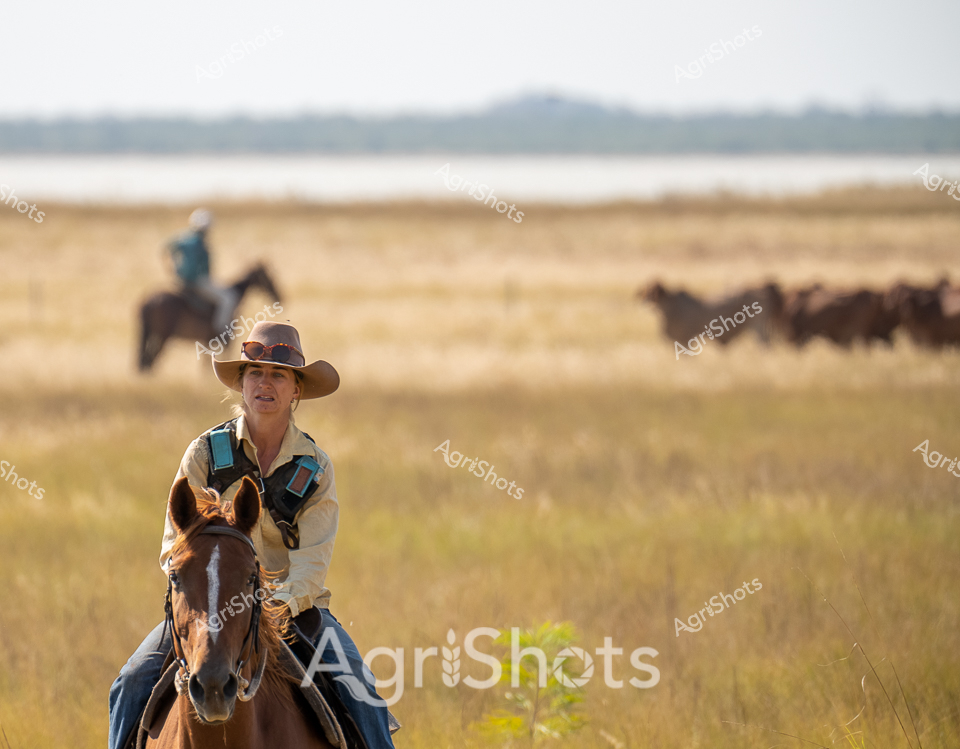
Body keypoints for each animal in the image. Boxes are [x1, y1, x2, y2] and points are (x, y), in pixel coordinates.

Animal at [138, 264, 281, 371]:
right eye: (267, 276)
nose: (279, 295)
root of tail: (149, 300)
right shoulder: (226, 340)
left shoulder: (208, 341)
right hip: (163, 336)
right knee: (150, 360)